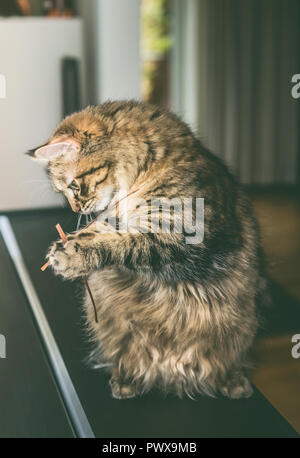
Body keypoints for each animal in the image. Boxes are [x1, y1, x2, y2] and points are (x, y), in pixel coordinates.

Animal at [28, 100, 268, 398]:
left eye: (73, 185)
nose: (76, 210)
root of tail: (175, 379)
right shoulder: (116, 220)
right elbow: (99, 232)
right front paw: (69, 244)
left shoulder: (186, 235)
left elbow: (124, 245)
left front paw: (72, 256)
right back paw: (126, 383)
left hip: (241, 331)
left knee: (223, 365)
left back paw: (234, 384)